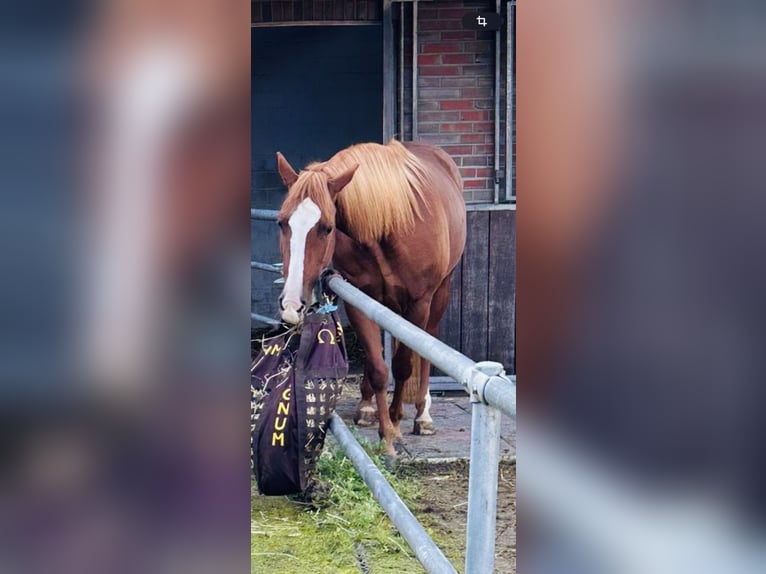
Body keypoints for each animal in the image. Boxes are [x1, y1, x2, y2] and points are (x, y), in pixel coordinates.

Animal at [276, 141, 468, 460]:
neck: (389, 225)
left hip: (440, 292)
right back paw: (367, 408)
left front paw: (397, 422)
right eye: (281, 223)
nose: (292, 305)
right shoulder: (358, 299)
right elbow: (379, 367)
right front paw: (386, 434)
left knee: (427, 343)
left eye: (327, 227)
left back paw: (422, 415)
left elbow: (403, 365)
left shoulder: (419, 302)